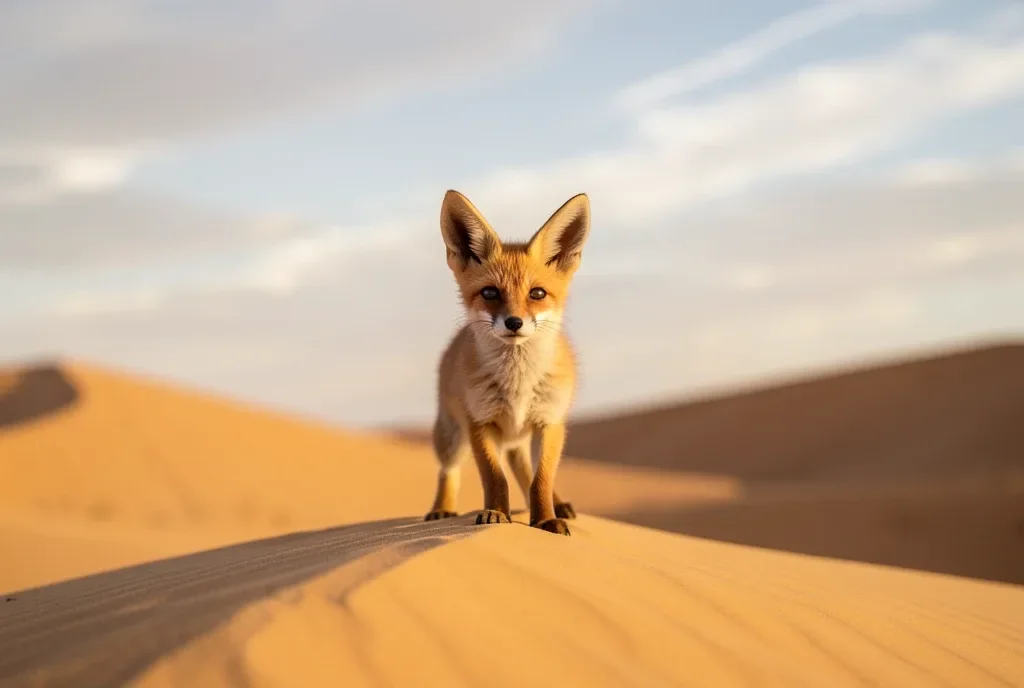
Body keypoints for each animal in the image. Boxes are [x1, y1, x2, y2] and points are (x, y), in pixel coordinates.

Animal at [423, 189, 591, 536]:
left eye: (537, 293)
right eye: (490, 292)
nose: (514, 322)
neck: (518, 384)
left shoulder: (549, 422)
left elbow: (541, 480)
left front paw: (544, 520)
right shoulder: (479, 422)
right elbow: (495, 477)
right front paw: (496, 514)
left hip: (520, 437)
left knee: (527, 472)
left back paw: (557, 506)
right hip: (451, 435)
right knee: (448, 470)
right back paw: (442, 509)